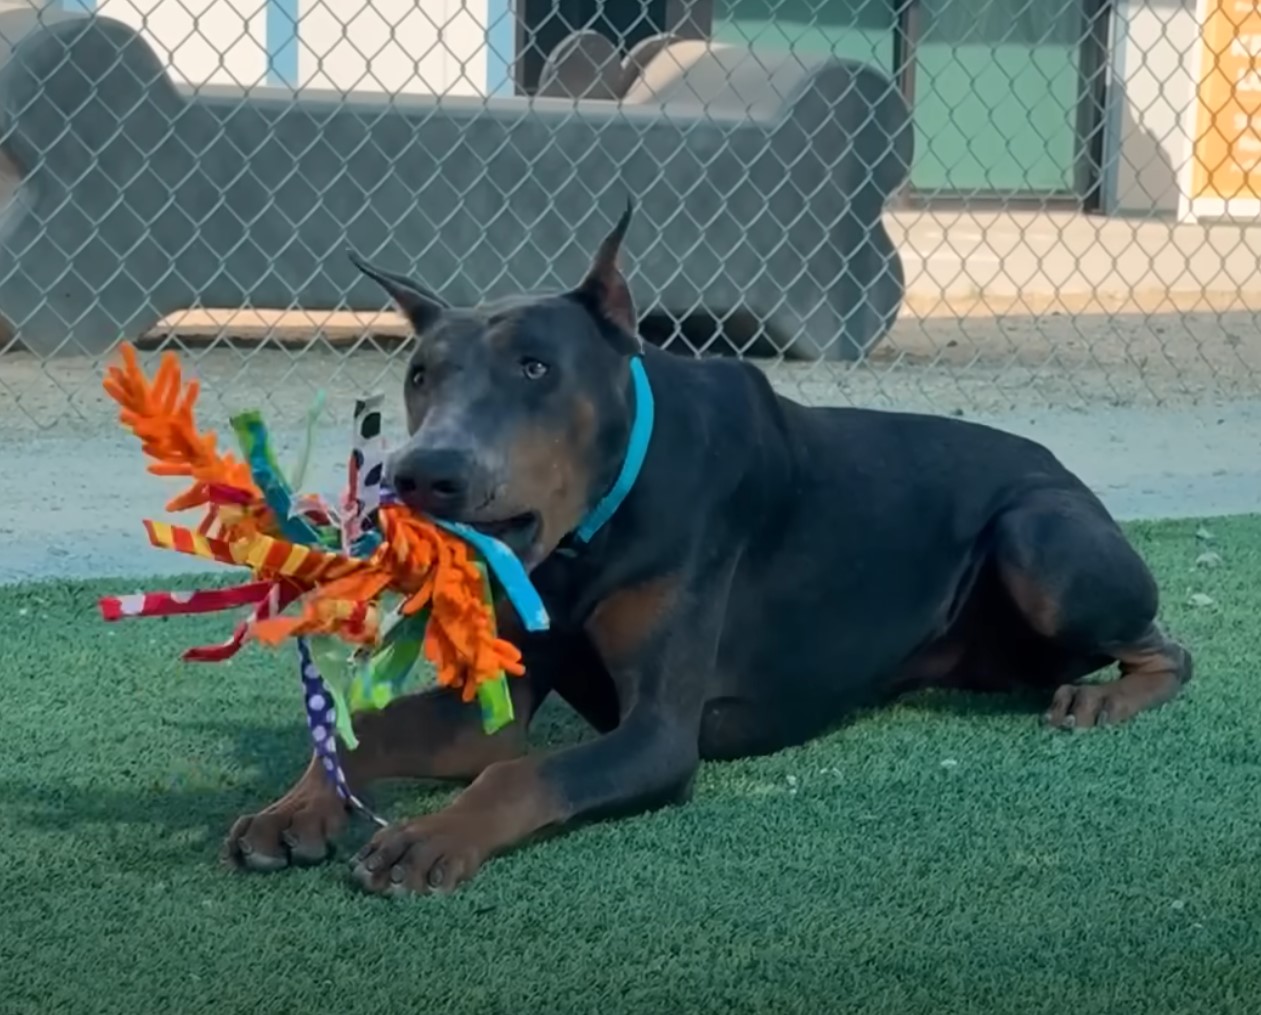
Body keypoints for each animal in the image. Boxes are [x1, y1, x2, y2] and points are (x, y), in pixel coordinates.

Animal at [224, 201, 1190, 892]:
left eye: (536, 367)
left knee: (1168, 649)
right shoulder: (491, 697)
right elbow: (384, 731)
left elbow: (516, 775)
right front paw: (297, 807)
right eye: (420, 374)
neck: (588, 535)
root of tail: (1060, 465)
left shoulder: (658, 734)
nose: (425, 473)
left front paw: (429, 836)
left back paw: (1105, 695)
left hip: (1040, 539)